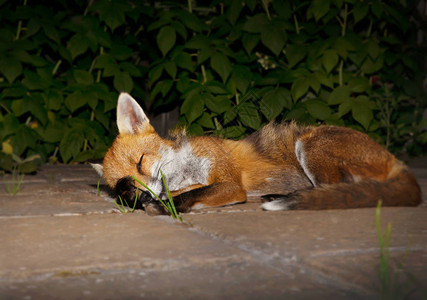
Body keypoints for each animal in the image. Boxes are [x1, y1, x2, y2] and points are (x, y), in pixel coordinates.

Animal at [92, 92, 422, 214]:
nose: (142, 196)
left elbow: (189, 195)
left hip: (310, 145)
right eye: (124, 181)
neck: (185, 170)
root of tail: (397, 162)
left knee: (339, 188)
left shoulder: (230, 183)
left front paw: (165, 206)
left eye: (141, 161)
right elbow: (183, 192)